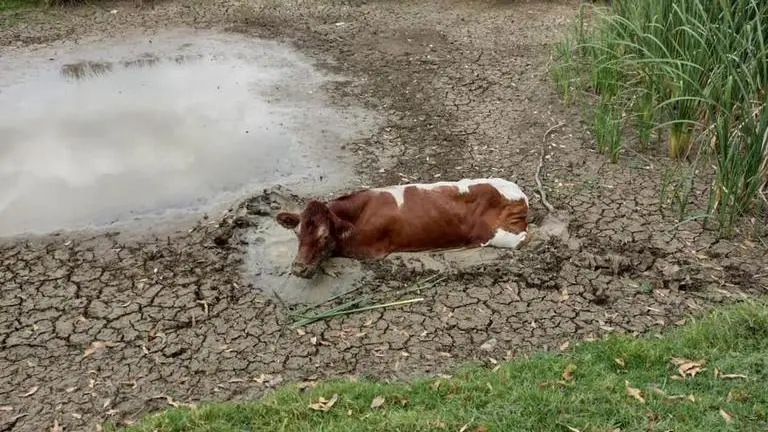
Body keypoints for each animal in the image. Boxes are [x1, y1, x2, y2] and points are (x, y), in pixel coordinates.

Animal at [275, 178, 530, 278]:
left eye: (324, 236)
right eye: (297, 233)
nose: (298, 269)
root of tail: (519, 194)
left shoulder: (368, 251)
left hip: (503, 236)